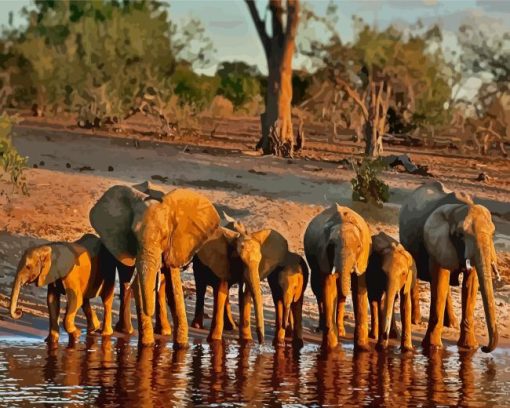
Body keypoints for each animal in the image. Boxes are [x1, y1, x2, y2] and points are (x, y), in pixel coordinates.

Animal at [89, 185, 219, 348]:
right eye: (133, 235)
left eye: (164, 236)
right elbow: (139, 284)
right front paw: (147, 346)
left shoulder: (175, 244)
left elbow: (173, 289)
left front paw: (182, 347)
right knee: (125, 275)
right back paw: (127, 330)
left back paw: (162, 331)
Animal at [302, 204, 370, 350]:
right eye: (332, 246)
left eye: (358, 246)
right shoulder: (323, 252)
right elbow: (329, 287)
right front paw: (330, 348)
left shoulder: (364, 256)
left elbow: (359, 286)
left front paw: (362, 347)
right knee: (318, 289)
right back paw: (321, 328)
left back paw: (341, 331)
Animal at [398, 180, 498, 352]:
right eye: (461, 235)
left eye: (493, 234)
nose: (485, 348)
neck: (460, 207)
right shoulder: (436, 241)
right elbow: (440, 280)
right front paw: (433, 347)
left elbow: (470, 285)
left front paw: (470, 347)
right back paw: (416, 321)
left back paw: (450, 323)